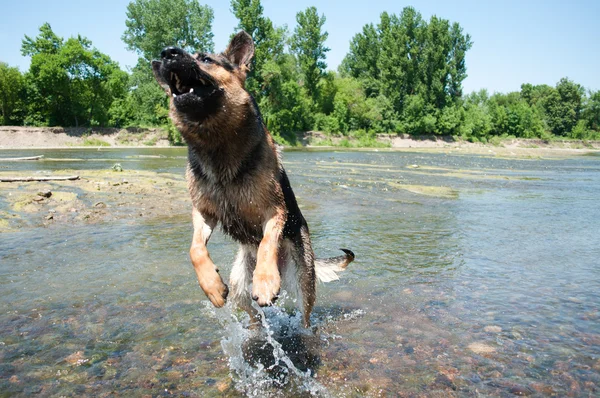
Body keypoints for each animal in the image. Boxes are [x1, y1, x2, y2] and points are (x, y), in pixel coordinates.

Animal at [152, 31, 354, 328]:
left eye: (206, 59)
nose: (166, 53)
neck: (216, 143)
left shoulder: (276, 210)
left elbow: (268, 242)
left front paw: (266, 280)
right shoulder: (203, 214)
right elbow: (195, 249)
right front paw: (211, 285)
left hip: (304, 281)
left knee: (305, 317)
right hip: (238, 285)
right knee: (251, 312)